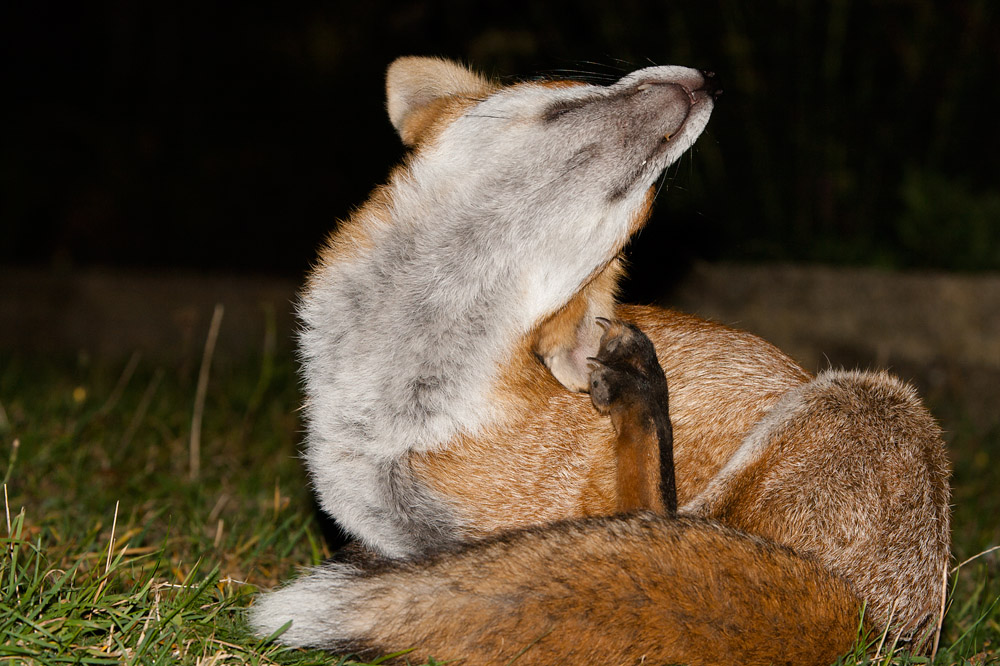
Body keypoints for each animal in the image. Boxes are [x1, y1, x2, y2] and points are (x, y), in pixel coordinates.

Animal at [250, 57, 951, 665]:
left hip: (856, 399)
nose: (710, 79)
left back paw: (644, 400)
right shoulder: (413, 536)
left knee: (659, 513)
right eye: (576, 90)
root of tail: (864, 618)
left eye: (647, 202)